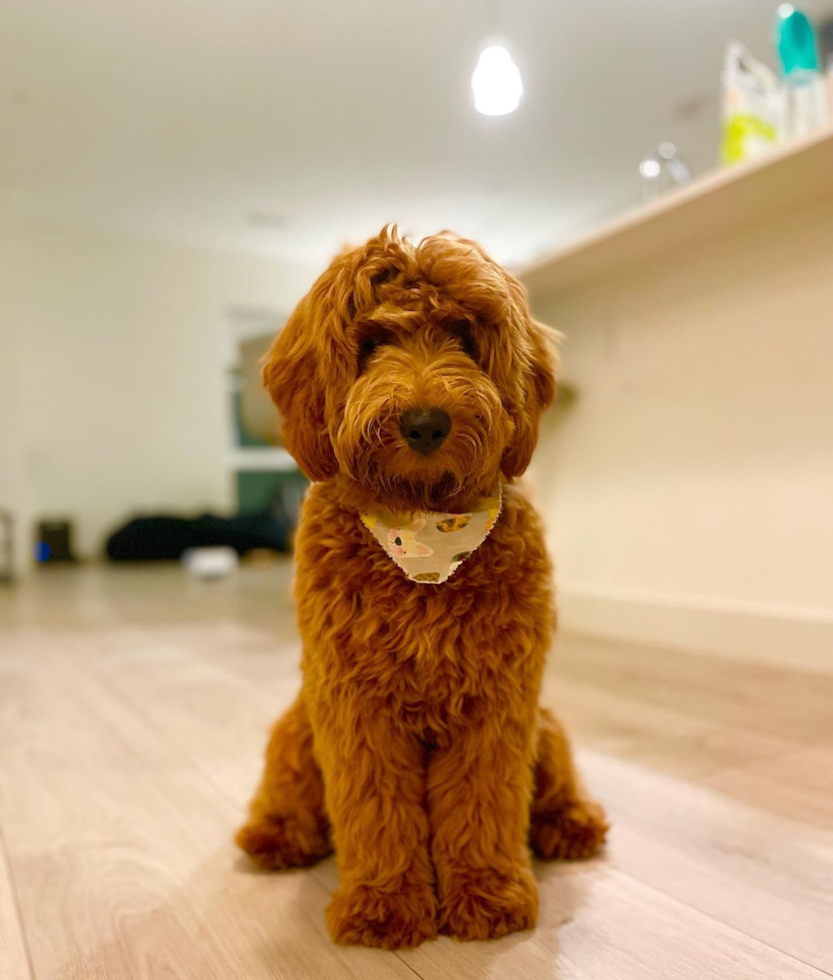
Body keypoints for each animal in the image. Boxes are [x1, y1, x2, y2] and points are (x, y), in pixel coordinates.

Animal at [234, 226, 604, 944]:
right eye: (371, 340)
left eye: (463, 334)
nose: (425, 422)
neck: (424, 531)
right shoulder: (353, 702)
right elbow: (375, 808)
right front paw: (383, 904)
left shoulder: (499, 700)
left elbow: (485, 802)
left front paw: (486, 893)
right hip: (298, 723)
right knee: (286, 786)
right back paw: (275, 835)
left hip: (543, 725)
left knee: (553, 784)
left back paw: (569, 823)